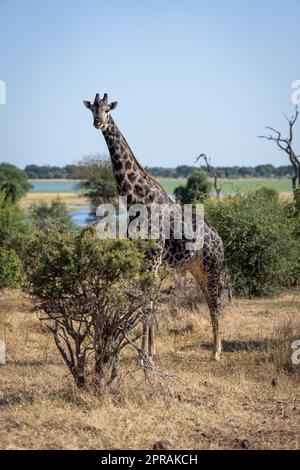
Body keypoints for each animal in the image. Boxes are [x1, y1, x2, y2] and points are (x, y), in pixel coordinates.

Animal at [83, 93, 224, 362]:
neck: (135, 198)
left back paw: (216, 352)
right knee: (209, 299)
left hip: (213, 267)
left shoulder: (154, 257)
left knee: (216, 302)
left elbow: (147, 300)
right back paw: (214, 349)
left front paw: (144, 355)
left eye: (107, 109)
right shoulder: (144, 257)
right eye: (92, 109)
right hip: (197, 267)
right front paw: (149, 350)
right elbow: (146, 299)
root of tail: (220, 240)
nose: (97, 122)